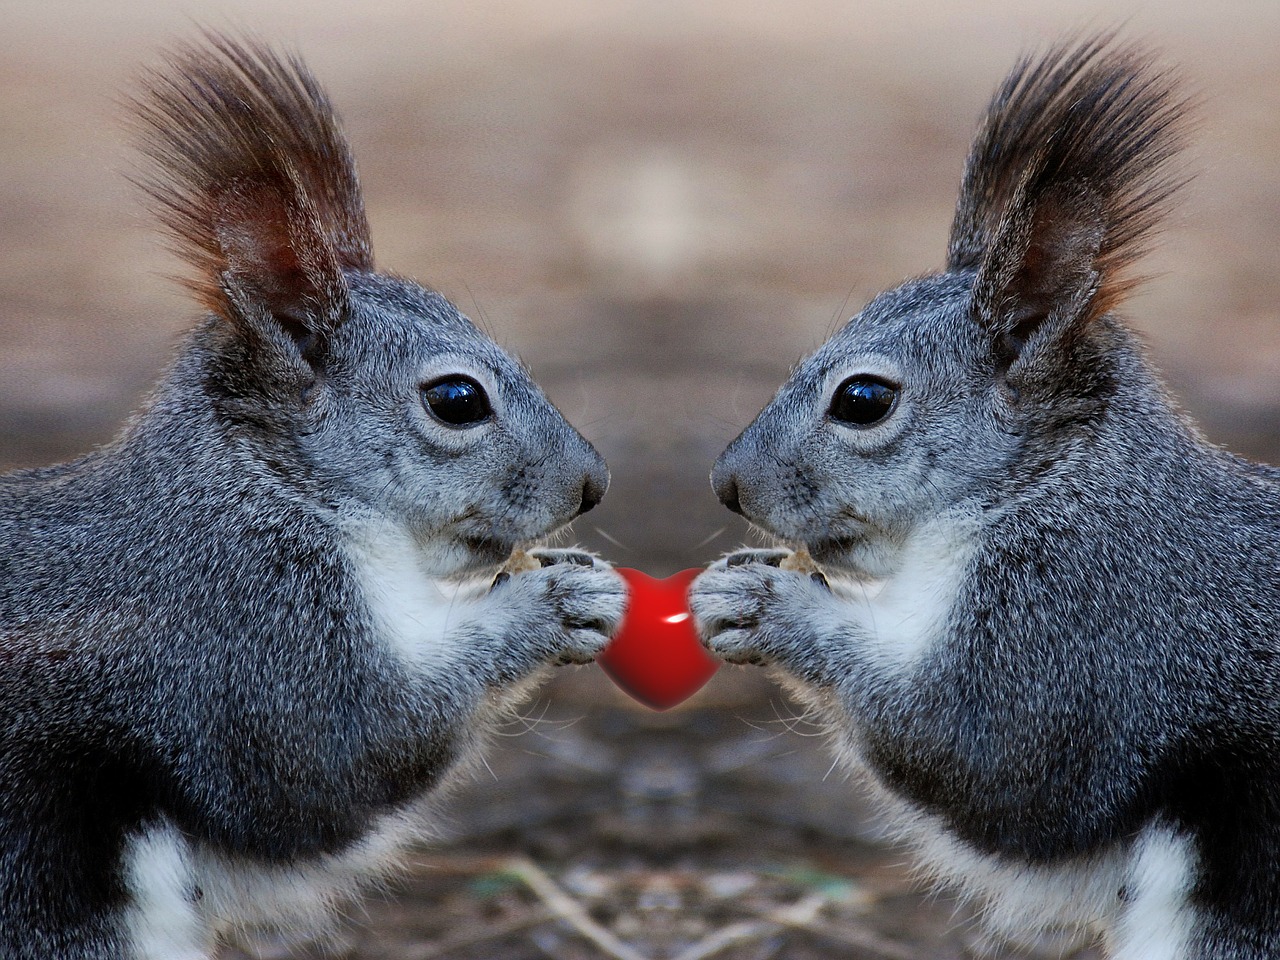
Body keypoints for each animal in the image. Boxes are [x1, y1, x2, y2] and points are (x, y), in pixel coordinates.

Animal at [0, 32, 624, 960]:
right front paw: (550, 607)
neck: (271, 487)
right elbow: (341, 757)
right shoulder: (245, 633)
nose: (591, 485)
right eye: (457, 400)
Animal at [696, 32, 1280, 960]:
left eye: (864, 400)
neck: (1047, 487)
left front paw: (767, 606)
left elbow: (985, 758)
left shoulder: (1090, 631)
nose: (727, 484)